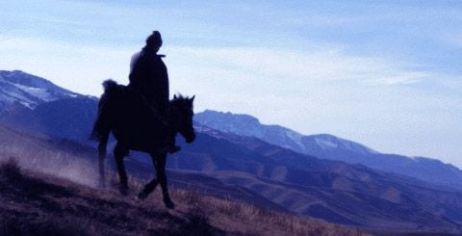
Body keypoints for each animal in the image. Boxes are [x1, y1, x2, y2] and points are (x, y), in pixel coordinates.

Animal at [91, 79, 196, 208]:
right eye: (191, 113)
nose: (192, 136)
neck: (168, 121)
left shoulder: (156, 152)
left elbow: (159, 173)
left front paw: (145, 193)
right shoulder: (161, 152)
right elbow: (161, 174)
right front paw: (165, 200)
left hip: (110, 130)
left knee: (106, 152)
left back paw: (108, 182)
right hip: (120, 135)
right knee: (114, 153)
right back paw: (119, 185)